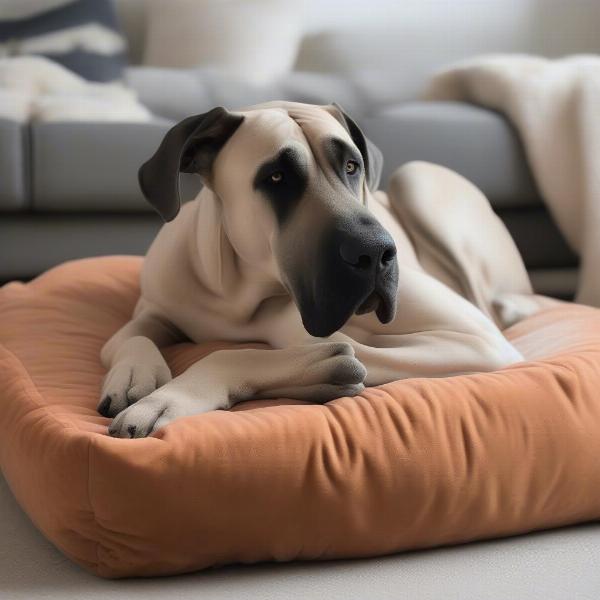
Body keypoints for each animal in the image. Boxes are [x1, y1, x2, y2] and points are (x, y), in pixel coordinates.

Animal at [101, 101, 556, 438]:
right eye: (277, 177)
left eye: (352, 166)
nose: (375, 253)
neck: (239, 292)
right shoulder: (155, 305)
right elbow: (129, 336)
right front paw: (133, 374)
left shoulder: (474, 339)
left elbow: (245, 351)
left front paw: (170, 398)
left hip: (417, 180)